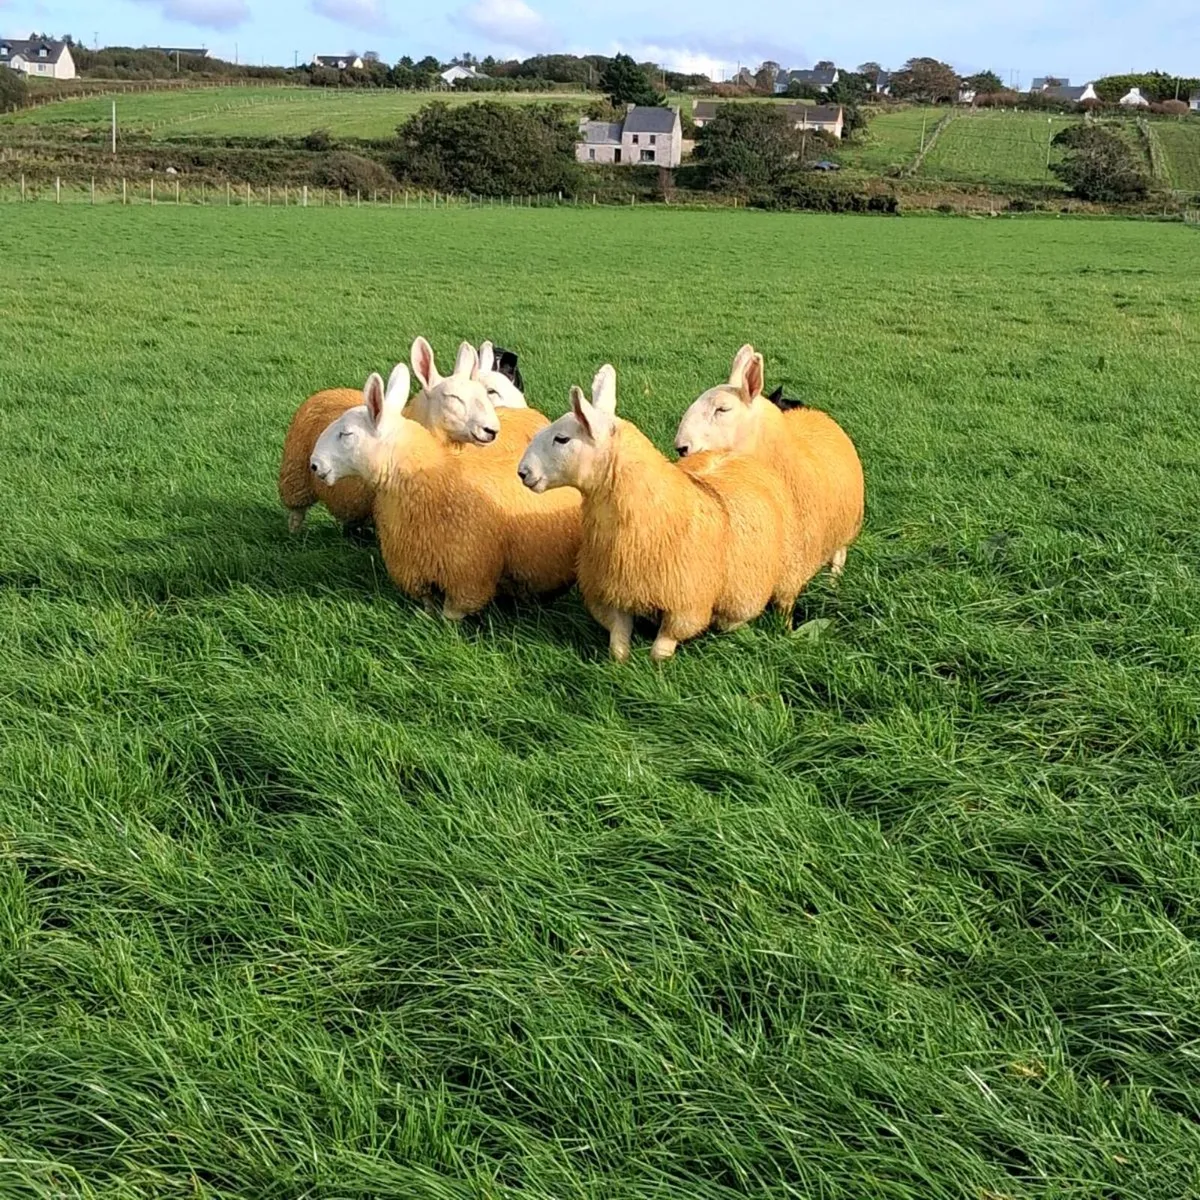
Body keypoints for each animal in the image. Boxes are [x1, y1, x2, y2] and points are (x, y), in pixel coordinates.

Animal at [310, 366, 581, 620]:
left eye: (346, 433)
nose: (314, 464)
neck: (427, 480)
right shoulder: (415, 567)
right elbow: (428, 607)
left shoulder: (466, 575)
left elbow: (450, 617)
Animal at [517, 365, 787, 663]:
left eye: (562, 439)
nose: (523, 472)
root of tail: (730, 455)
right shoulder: (614, 595)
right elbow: (618, 645)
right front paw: (620, 667)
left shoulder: (684, 607)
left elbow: (661, 650)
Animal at [674, 345, 864, 605]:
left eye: (722, 409)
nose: (681, 447)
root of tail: (814, 411)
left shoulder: (791, 579)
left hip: (845, 532)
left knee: (837, 561)